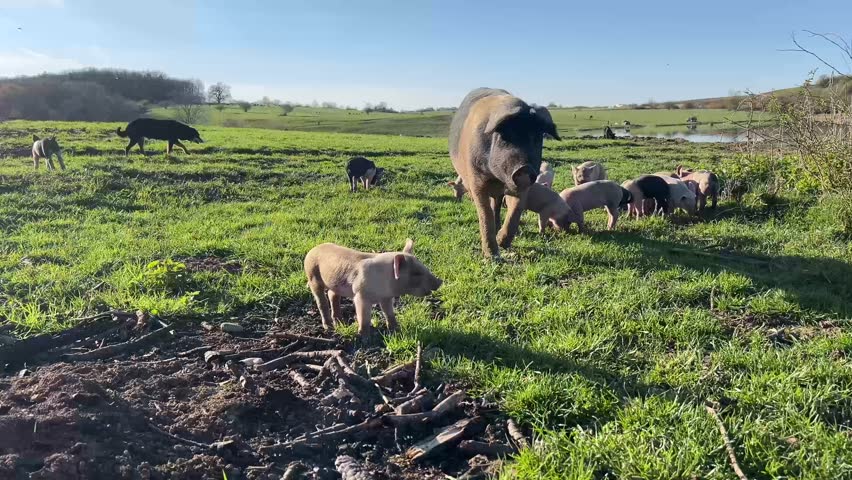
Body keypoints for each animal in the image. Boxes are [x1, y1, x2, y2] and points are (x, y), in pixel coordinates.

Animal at [304, 239, 442, 337]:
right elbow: (364, 318)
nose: (439, 281)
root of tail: (313, 249)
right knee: (321, 301)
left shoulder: (386, 297)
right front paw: (364, 337)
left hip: (335, 283)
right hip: (312, 276)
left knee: (332, 295)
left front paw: (396, 330)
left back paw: (340, 323)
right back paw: (329, 327)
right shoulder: (360, 295)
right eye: (416, 273)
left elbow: (389, 313)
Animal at [449, 88, 560, 259]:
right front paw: (492, 256)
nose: (524, 169)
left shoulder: (522, 187)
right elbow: (485, 214)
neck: (498, 179)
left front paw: (503, 243)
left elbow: (515, 212)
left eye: (536, 138)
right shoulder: (476, 181)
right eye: (504, 137)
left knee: (497, 205)